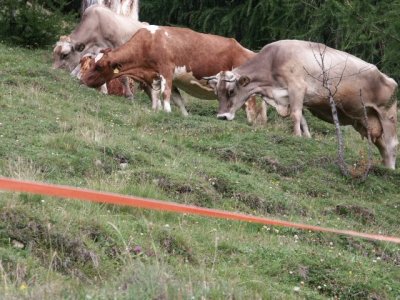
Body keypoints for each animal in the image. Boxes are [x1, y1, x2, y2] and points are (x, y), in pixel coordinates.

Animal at [80, 25, 268, 124]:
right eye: (92, 63)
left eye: (99, 66)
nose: (82, 81)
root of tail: (251, 52)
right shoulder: (156, 77)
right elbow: (173, 98)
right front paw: (166, 111)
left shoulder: (167, 70)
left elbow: (166, 93)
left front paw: (167, 111)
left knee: (250, 108)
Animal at [205, 39, 398, 169]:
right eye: (217, 92)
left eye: (231, 91)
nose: (222, 116)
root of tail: (389, 78)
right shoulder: (296, 97)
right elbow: (303, 119)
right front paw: (306, 137)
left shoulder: (296, 88)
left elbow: (295, 115)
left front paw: (296, 136)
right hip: (367, 120)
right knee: (381, 144)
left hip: (387, 115)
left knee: (391, 143)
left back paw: (390, 168)